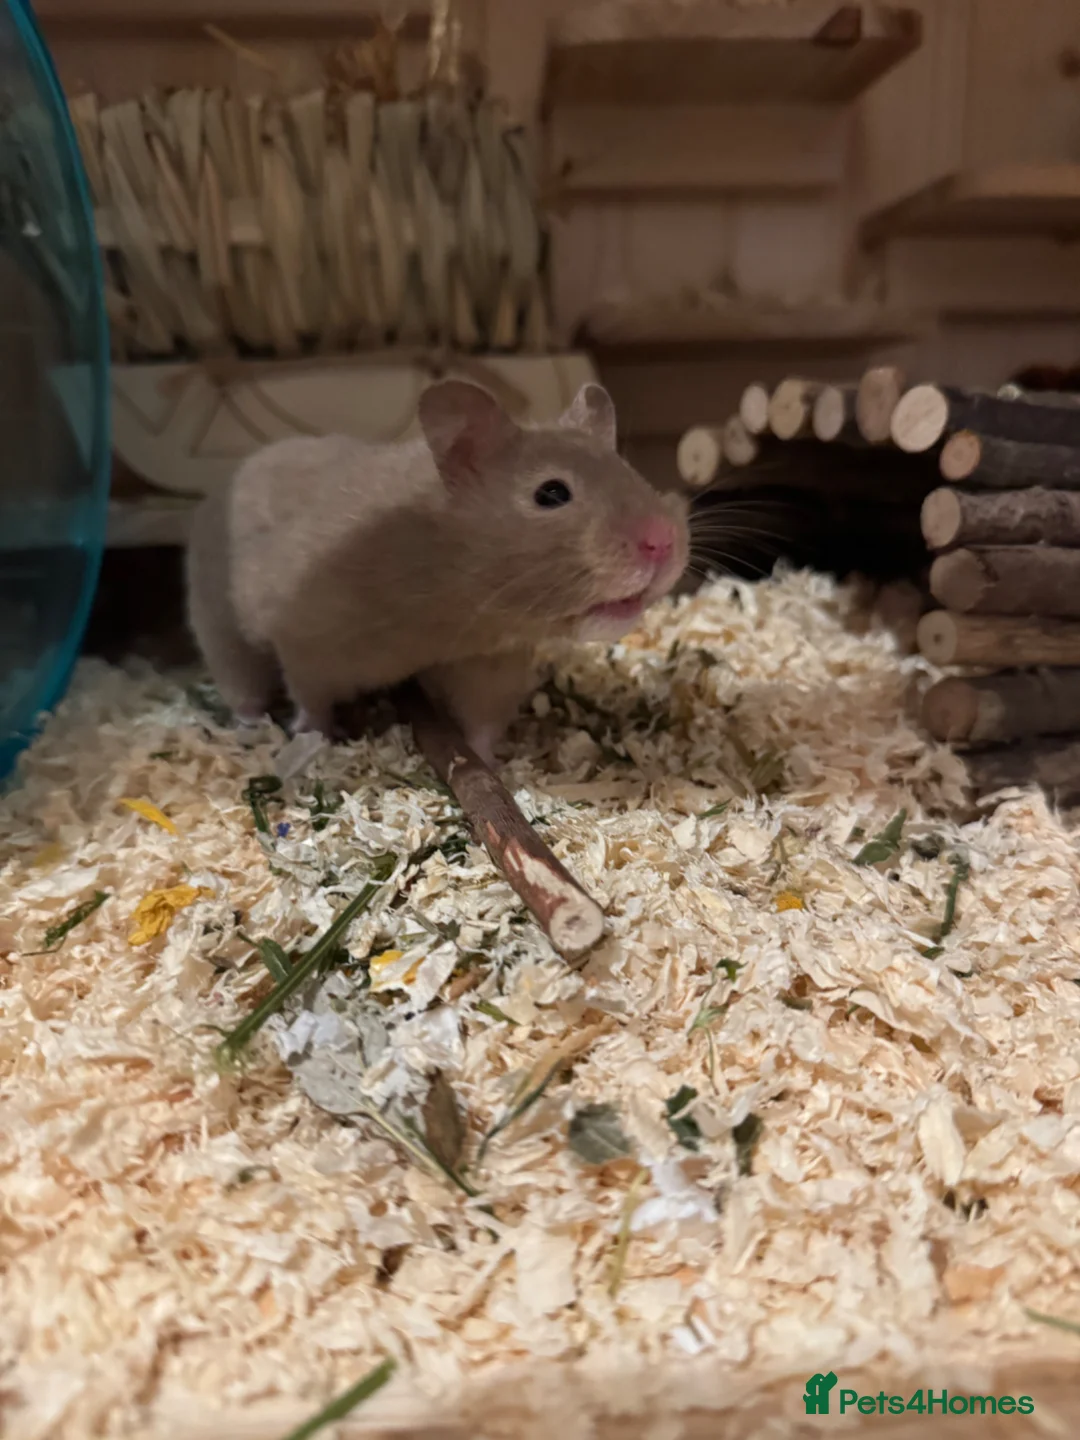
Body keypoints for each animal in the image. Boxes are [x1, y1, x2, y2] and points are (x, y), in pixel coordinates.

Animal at [185, 379, 689, 764]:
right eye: (551, 493)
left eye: (631, 471)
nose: (663, 541)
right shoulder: (304, 641)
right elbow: (310, 695)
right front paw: (315, 741)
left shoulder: (487, 664)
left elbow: (482, 723)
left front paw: (485, 765)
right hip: (218, 624)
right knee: (240, 679)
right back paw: (253, 725)